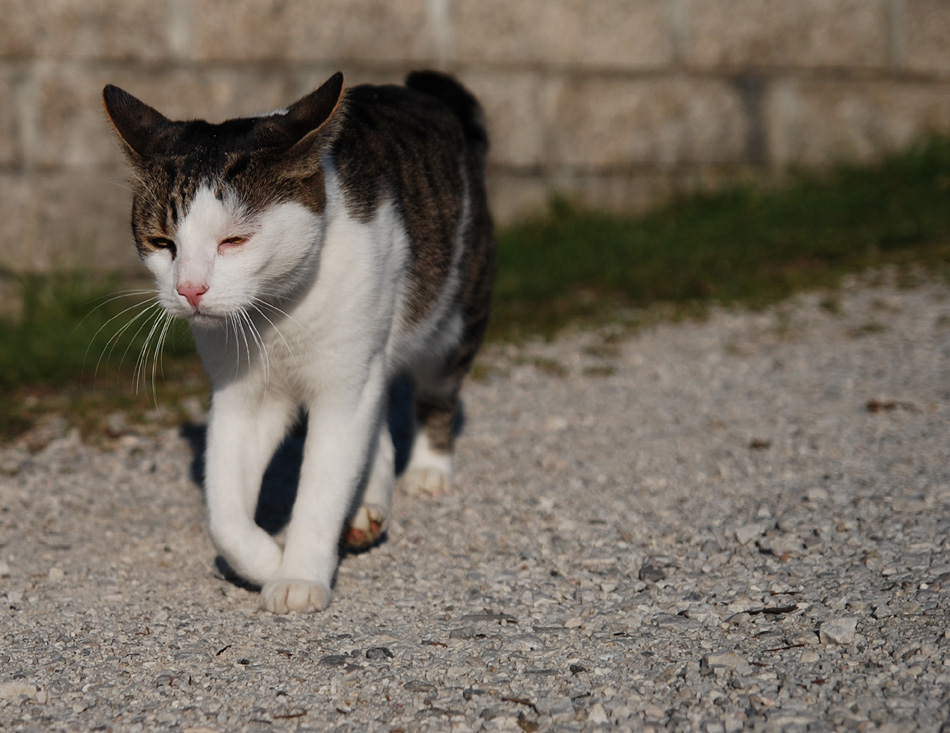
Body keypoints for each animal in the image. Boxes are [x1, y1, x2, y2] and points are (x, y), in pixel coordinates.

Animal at [104, 70, 494, 612]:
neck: (274, 315)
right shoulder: (241, 394)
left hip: (455, 306)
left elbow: (322, 486)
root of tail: (425, 92)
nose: (190, 289)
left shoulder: (345, 383)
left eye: (235, 240)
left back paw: (428, 470)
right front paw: (265, 559)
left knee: (437, 388)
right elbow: (224, 511)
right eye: (162, 243)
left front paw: (300, 575)